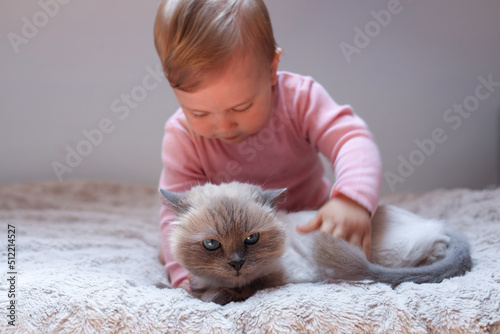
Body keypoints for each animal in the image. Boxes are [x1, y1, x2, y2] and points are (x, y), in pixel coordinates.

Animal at [160, 181, 472, 304]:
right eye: (212, 245)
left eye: (252, 239)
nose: (237, 263)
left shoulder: (286, 276)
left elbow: (247, 287)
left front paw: (214, 295)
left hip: (391, 253)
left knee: (434, 243)